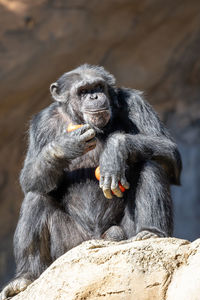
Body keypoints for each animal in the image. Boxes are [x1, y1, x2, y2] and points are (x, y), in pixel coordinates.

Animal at [0, 64, 181, 298]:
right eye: (83, 91)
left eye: (98, 86)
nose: (94, 96)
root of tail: (96, 239)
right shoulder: (41, 123)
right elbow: (28, 177)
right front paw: (64, 146)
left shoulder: (136, 103)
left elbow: (169, 151)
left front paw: (116, 148)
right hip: (69, 249)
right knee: (36, 196)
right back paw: (24, 278)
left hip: (120, 235)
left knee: (149, 164)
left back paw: (150, 232)